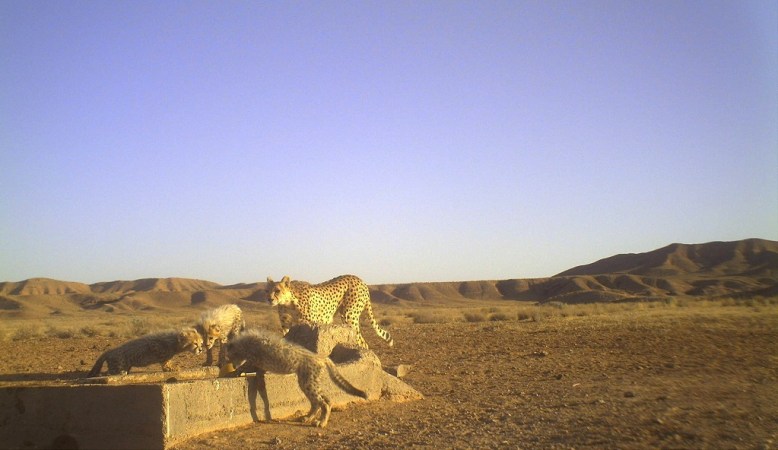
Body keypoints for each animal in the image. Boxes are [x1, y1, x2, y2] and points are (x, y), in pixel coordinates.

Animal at [225, 328, 368, 428]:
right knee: (322, 401)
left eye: (228, 357)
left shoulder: (253, 359)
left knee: (323, 402)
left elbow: (245, 367)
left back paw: (321, 422)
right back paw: (308, 418)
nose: (231, 364)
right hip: (308, 381)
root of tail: (321, 357)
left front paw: (233, 372)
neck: (245, 342)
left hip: (308, 382)